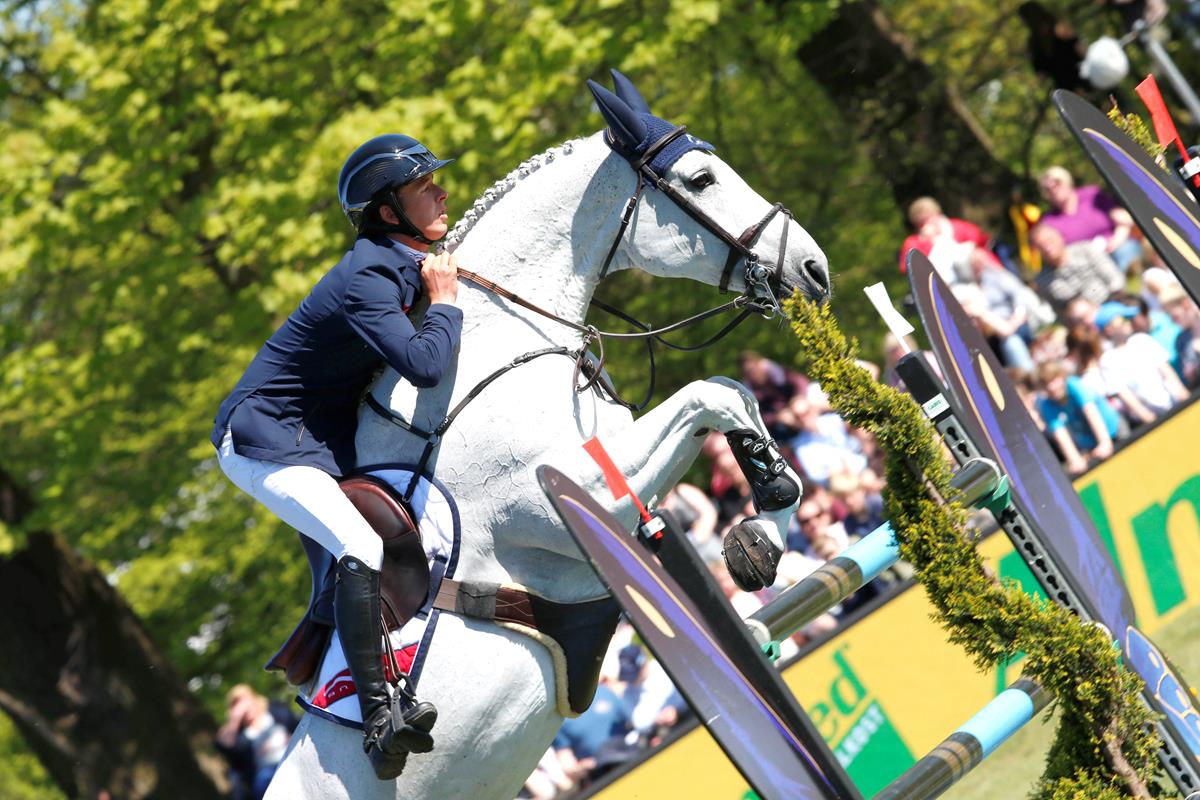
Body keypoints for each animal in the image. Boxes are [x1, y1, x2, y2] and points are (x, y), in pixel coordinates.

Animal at [264, 73, 830, 800]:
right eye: (701, 179)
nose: (815, 270)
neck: (495, 342)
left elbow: (734, 393)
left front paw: (761, 527)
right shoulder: (570, 499)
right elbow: (710, 394)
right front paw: (760, 528)